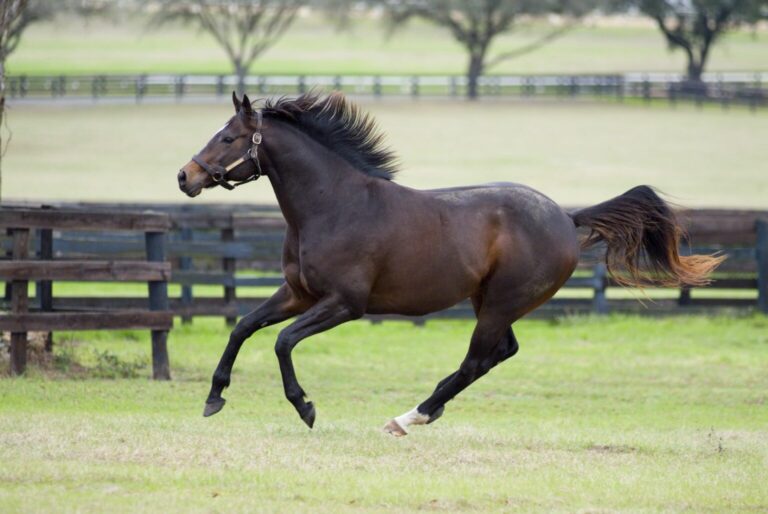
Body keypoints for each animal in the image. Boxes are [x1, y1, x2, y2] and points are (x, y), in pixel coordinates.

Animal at [177, 91, 724, 432]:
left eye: (228, 138)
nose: (185, 177)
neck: (334, 205)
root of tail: (567, 219)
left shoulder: (345, 304)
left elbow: (283, 342)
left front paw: (305, 407)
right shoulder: (298, 293)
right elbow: (243, 327)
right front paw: (213, 398)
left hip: (500, 303)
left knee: (478, 359)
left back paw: (409, 417)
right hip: (490, 302)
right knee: (501, 352)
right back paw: (424, 413)